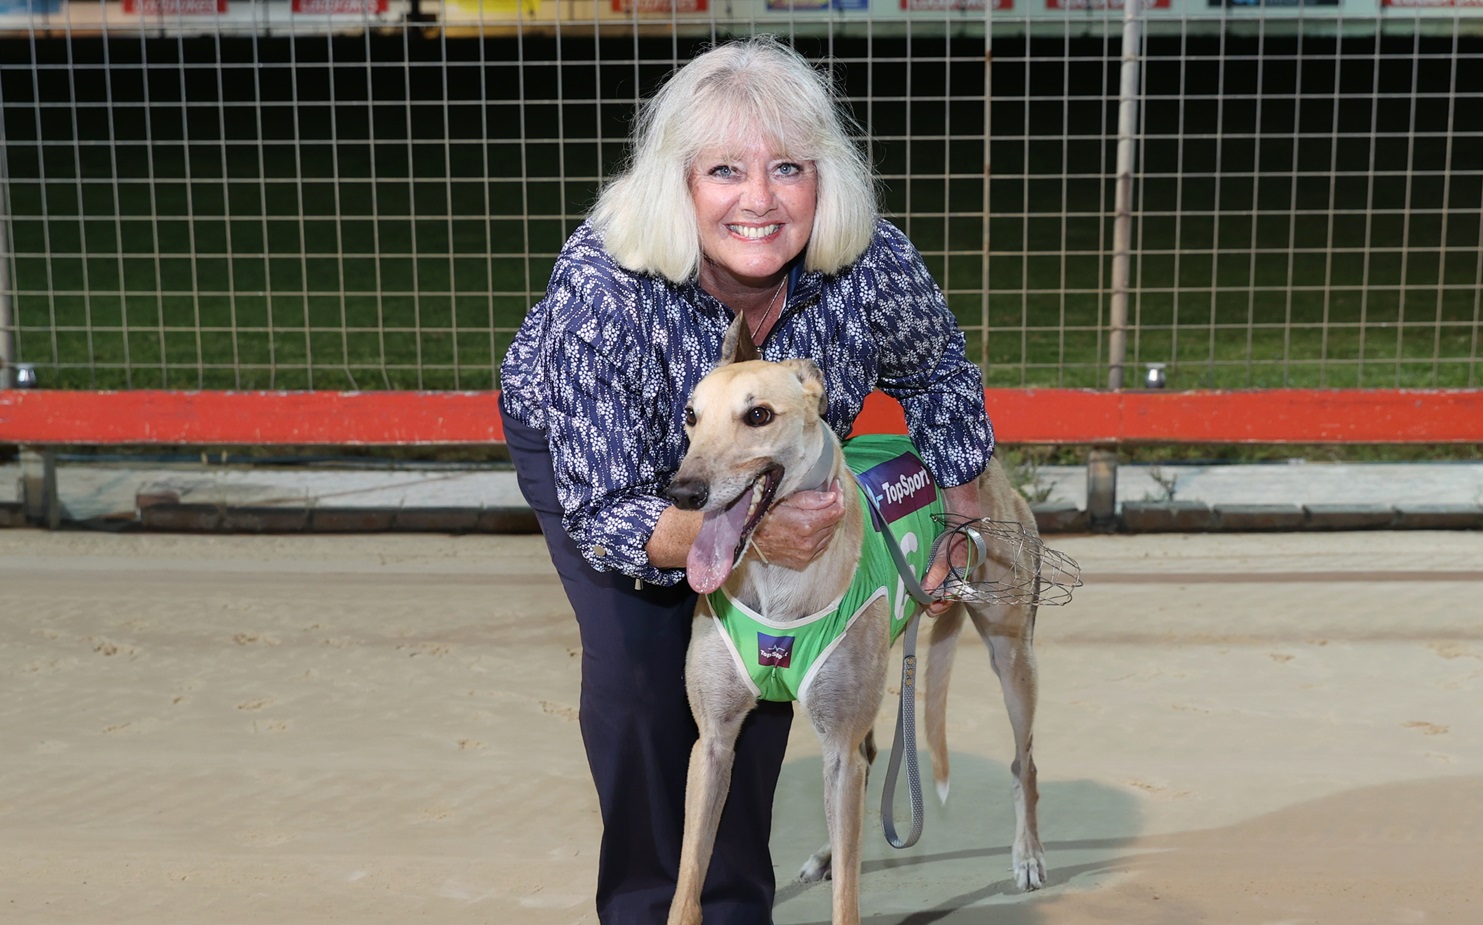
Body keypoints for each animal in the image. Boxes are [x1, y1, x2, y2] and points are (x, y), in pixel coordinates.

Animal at [667, 315, 1049, 919]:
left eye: (758, 415)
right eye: (690, 415)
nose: (682, 492)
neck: (779, 580)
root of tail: (985, 463)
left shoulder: (838, 744)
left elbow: (847, 900)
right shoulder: (713, 742)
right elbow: (687, 887)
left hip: (1012, 654)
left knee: (1023, 761)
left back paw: (1028, 854)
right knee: (869, 762)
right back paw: (830, 852)